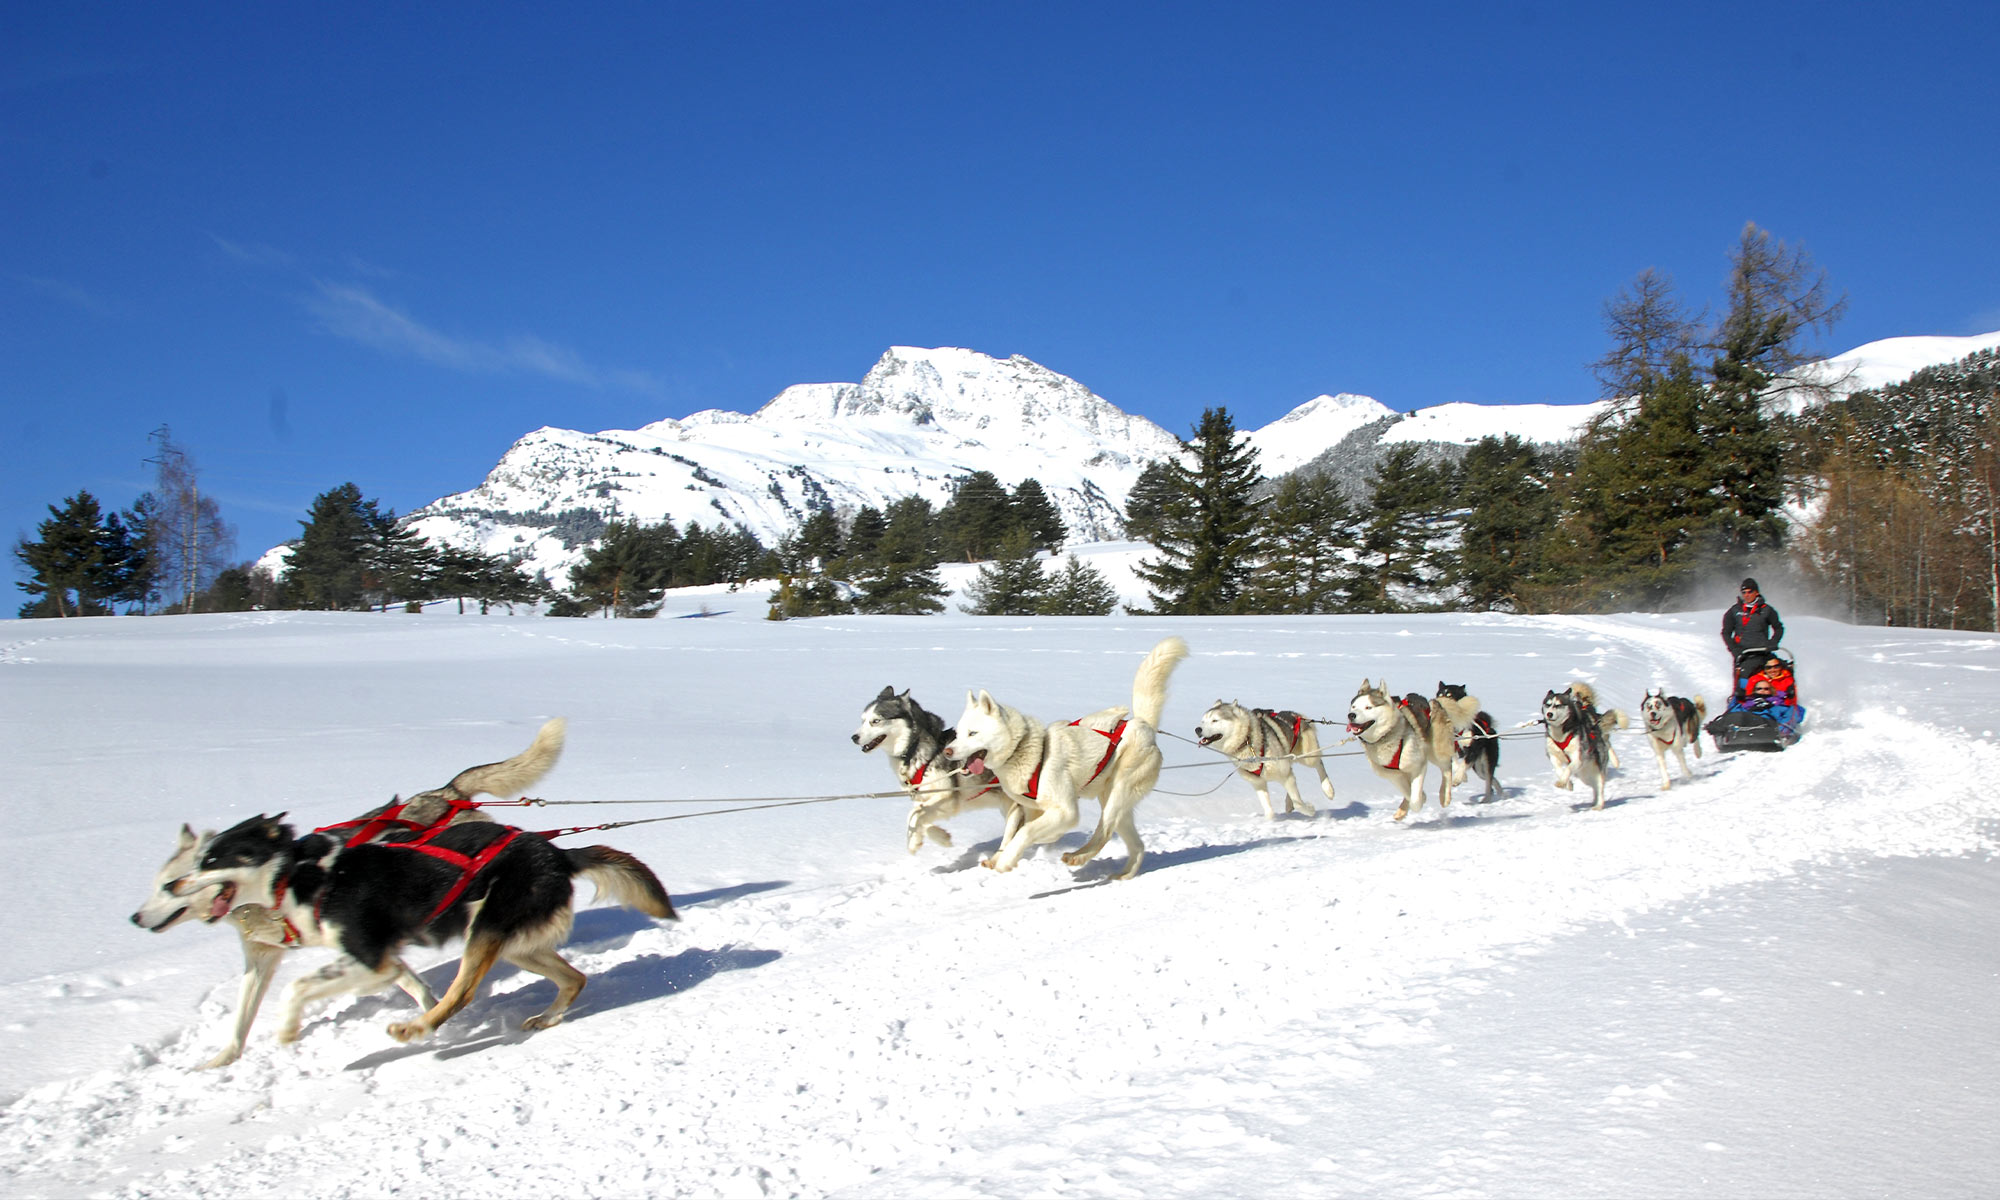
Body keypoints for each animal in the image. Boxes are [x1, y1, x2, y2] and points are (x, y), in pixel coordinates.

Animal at [856, 684, 1016, 852]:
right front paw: (941, 837)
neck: (914, 749)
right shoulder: (923, 799)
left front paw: (913, 842)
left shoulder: (947, 797)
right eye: (863, 720)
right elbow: (919, 817)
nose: (854, 737)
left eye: (875, 721)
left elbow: (912, 815)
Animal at [940, 636, 1176, 880]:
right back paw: (1124, 875)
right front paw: (1002, 856)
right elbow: (1018, 833)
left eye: (973, 733)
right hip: (1115, 801)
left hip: (1116, 795)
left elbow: (1025, 832)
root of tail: (1143, 724)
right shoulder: (1032, 811)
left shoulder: (1066, 811)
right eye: (958, 733)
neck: (1033, 754)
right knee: (1136, 845)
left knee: (1104, 831)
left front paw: (1006, 861)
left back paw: (1078, 856)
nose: (947, 751)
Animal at [1192, 700, 1336, 820]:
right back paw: (1289, 803)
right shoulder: (1258, 783)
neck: (1246, 741)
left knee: (1319, 764)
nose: (1197, 729)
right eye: (1203, 721)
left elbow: (1299, 804)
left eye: (1215, 720)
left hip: (1308, 757)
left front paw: (1310, 810)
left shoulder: (1284, 775)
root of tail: (1297, 715)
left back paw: (1328, 789)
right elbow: (1269, 811)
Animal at [1344, 680, 1440, 820]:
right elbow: (1409, 793)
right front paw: (1410, 804)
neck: (1385, 736)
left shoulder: (1419, 766)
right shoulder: (1394, 775)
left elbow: (1415, 800)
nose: (1351, 715)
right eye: (1354, 706)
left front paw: (1420, 800)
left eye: (1368, 707)